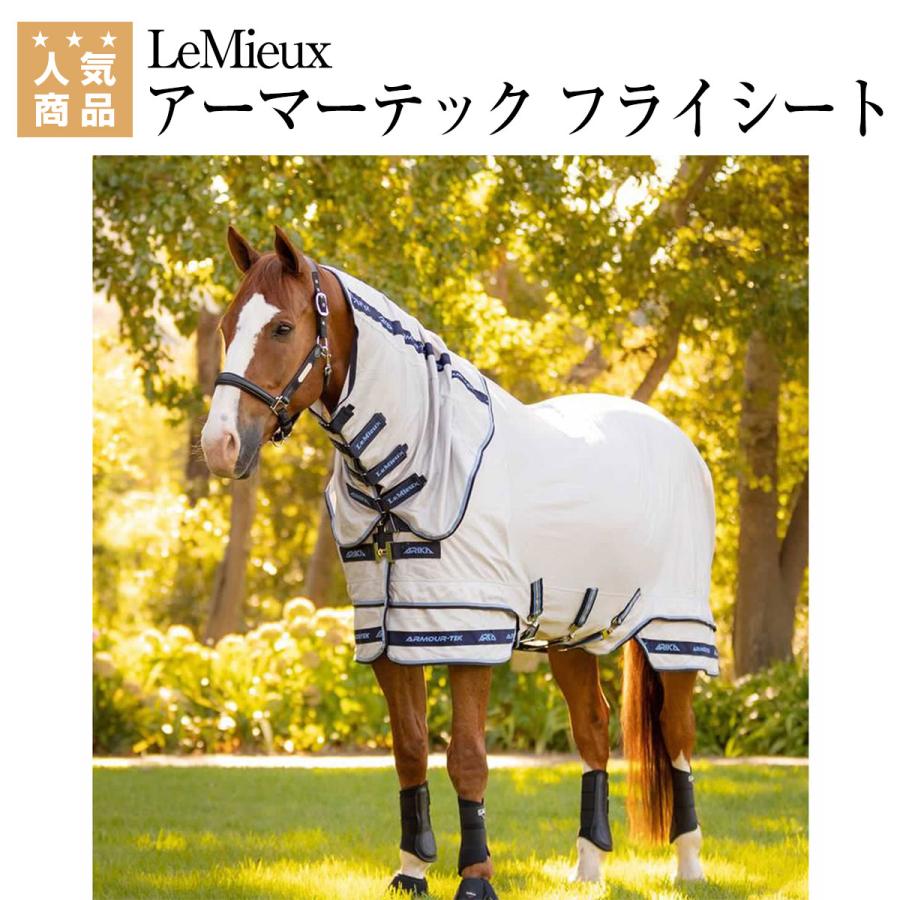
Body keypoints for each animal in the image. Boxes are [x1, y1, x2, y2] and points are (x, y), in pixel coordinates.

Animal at [201, 225, 718, 899]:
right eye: (225, 325)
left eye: (283, 327)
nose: (219, 445)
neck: (414, 466)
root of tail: (679, 442)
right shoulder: (389, 635)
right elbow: (410, 749)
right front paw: (412, 870)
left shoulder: (470, 630)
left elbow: (467, 757)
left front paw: (475, 878)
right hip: (571, 635)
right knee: (593, 730)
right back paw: (587, 868)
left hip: (676, 630)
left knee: (678, 737)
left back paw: (690, 864)